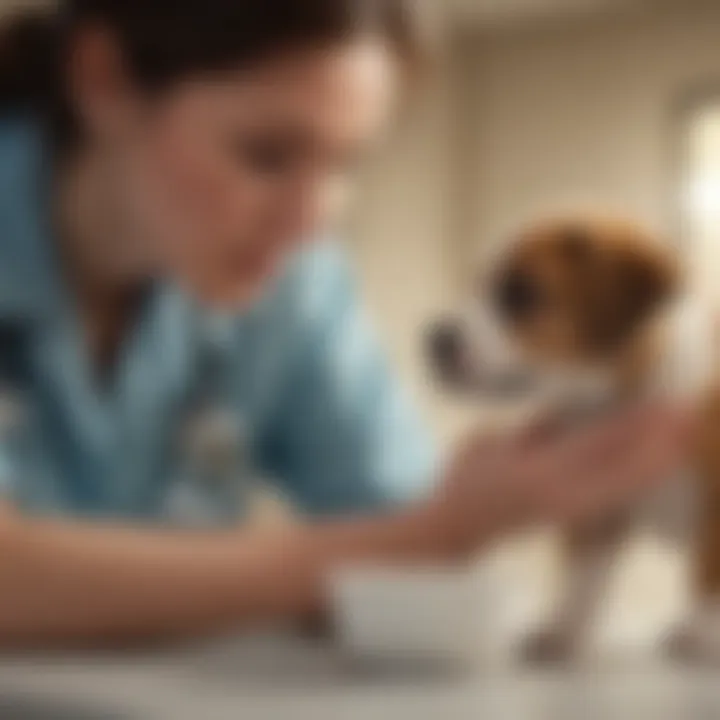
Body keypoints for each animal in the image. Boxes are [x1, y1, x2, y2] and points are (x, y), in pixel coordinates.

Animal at [424, 217, 720, 668]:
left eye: (521, 293)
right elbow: (582, 577)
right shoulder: (597, 502)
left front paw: (701, 632)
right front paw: (562, 631)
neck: (630, 395)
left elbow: (708, 571)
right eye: (472, 284)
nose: (434, 339)